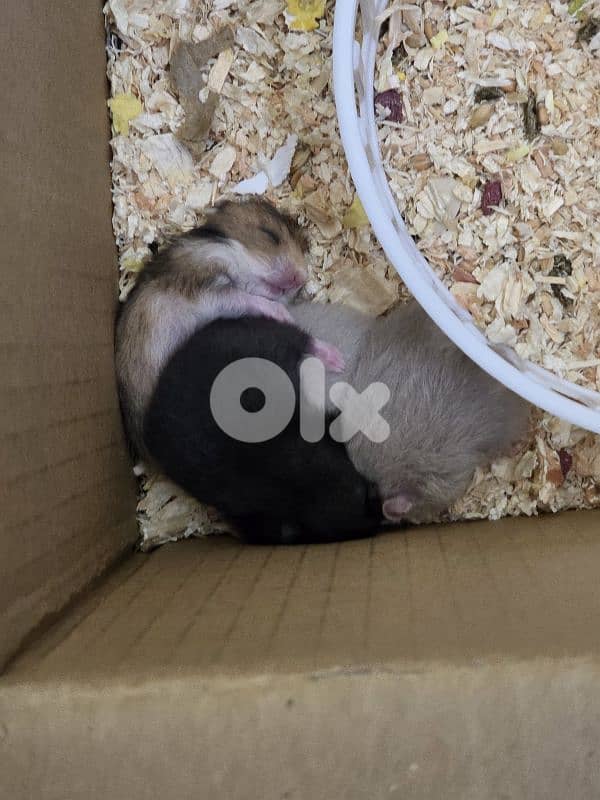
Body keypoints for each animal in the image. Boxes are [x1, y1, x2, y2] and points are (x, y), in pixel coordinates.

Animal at [116, 198, 343, 454]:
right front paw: (283, 314)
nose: (300, 278)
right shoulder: (203, 292)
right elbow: (245, 298)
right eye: (270, 235)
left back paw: (339, 360)